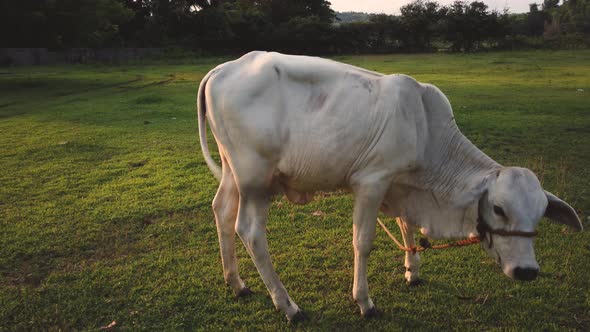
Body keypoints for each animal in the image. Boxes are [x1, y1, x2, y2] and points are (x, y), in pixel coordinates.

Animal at [198, 50, 584, 320]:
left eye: (540, 215)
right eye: (499, 209)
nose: (527, 272)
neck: (426, 129)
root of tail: (222, 69)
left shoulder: (401, 186)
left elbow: (407, 225)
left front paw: (413, 271)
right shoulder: (372, 182)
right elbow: (363, 242)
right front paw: (365, 302)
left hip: (233, 173)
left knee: (221, 211)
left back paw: (236, 283)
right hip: (256, 181)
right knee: (250, 231)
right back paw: (288, 306)